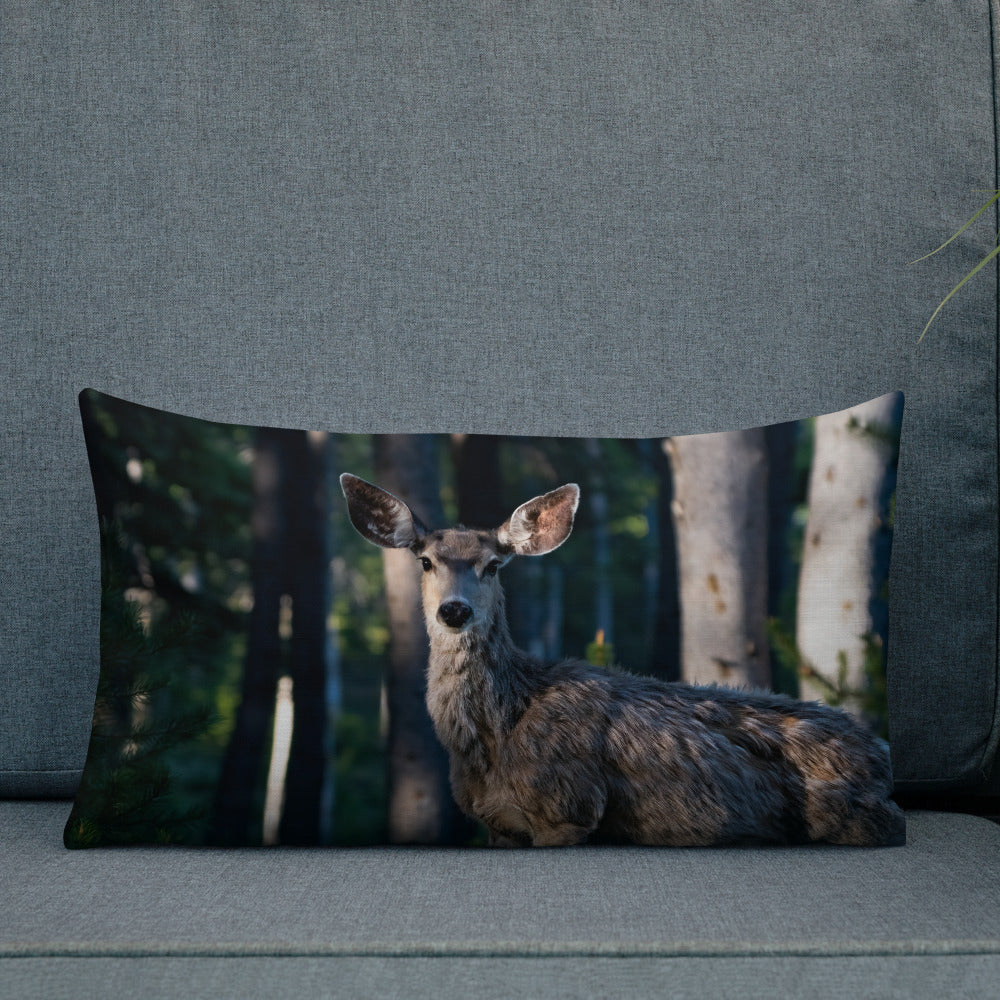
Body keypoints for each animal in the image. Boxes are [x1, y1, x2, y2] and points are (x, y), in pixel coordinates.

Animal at [340, 473, 906, 848]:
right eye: (425, 561)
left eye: (494, 565)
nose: (454, 610)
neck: (495, 736)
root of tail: (882, 756)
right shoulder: (498, 824)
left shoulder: (569, 808)